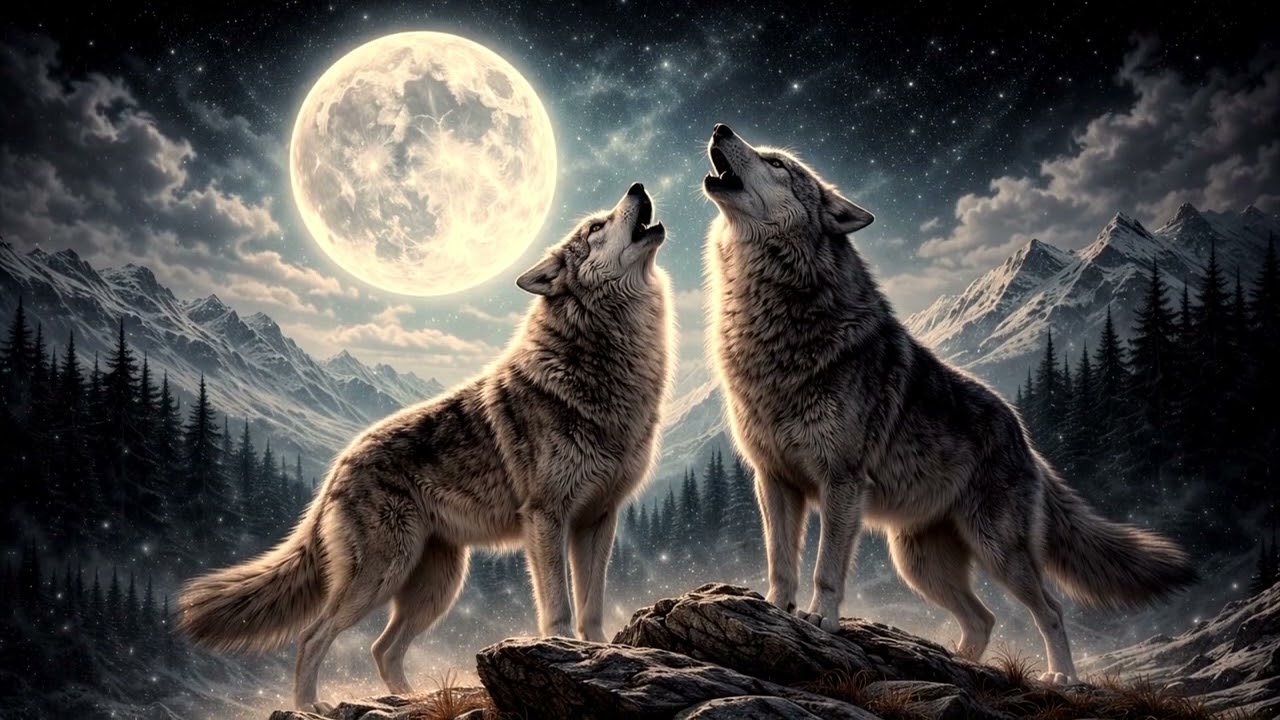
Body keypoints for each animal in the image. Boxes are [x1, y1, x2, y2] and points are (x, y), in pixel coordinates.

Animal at [178, 183, 675, 711]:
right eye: (595, 227)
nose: (637, 187)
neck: (602, 360)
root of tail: (339, 464)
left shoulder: (599, 518)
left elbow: (592, 607)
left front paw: (599, 652)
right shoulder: (546, 516)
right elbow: (559, 607)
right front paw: (562, 651)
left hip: (437, 585)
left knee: (382, 648)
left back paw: (409, 699)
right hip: (384, 574)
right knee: (314, 636)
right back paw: (312, 707)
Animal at [701, 124, 1197, 683]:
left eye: (778, 163)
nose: (720, 127)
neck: (773, 321)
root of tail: (1027, 440)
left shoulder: (841, 482)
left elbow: (826, 568)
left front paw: (818, 620)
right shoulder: (774, 479)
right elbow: (780, 561)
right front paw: (771, 608)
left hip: (996, 551)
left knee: (1049, 608)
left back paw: (1063, 678)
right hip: (918, 564)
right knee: (984, 619)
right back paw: (955, 662)